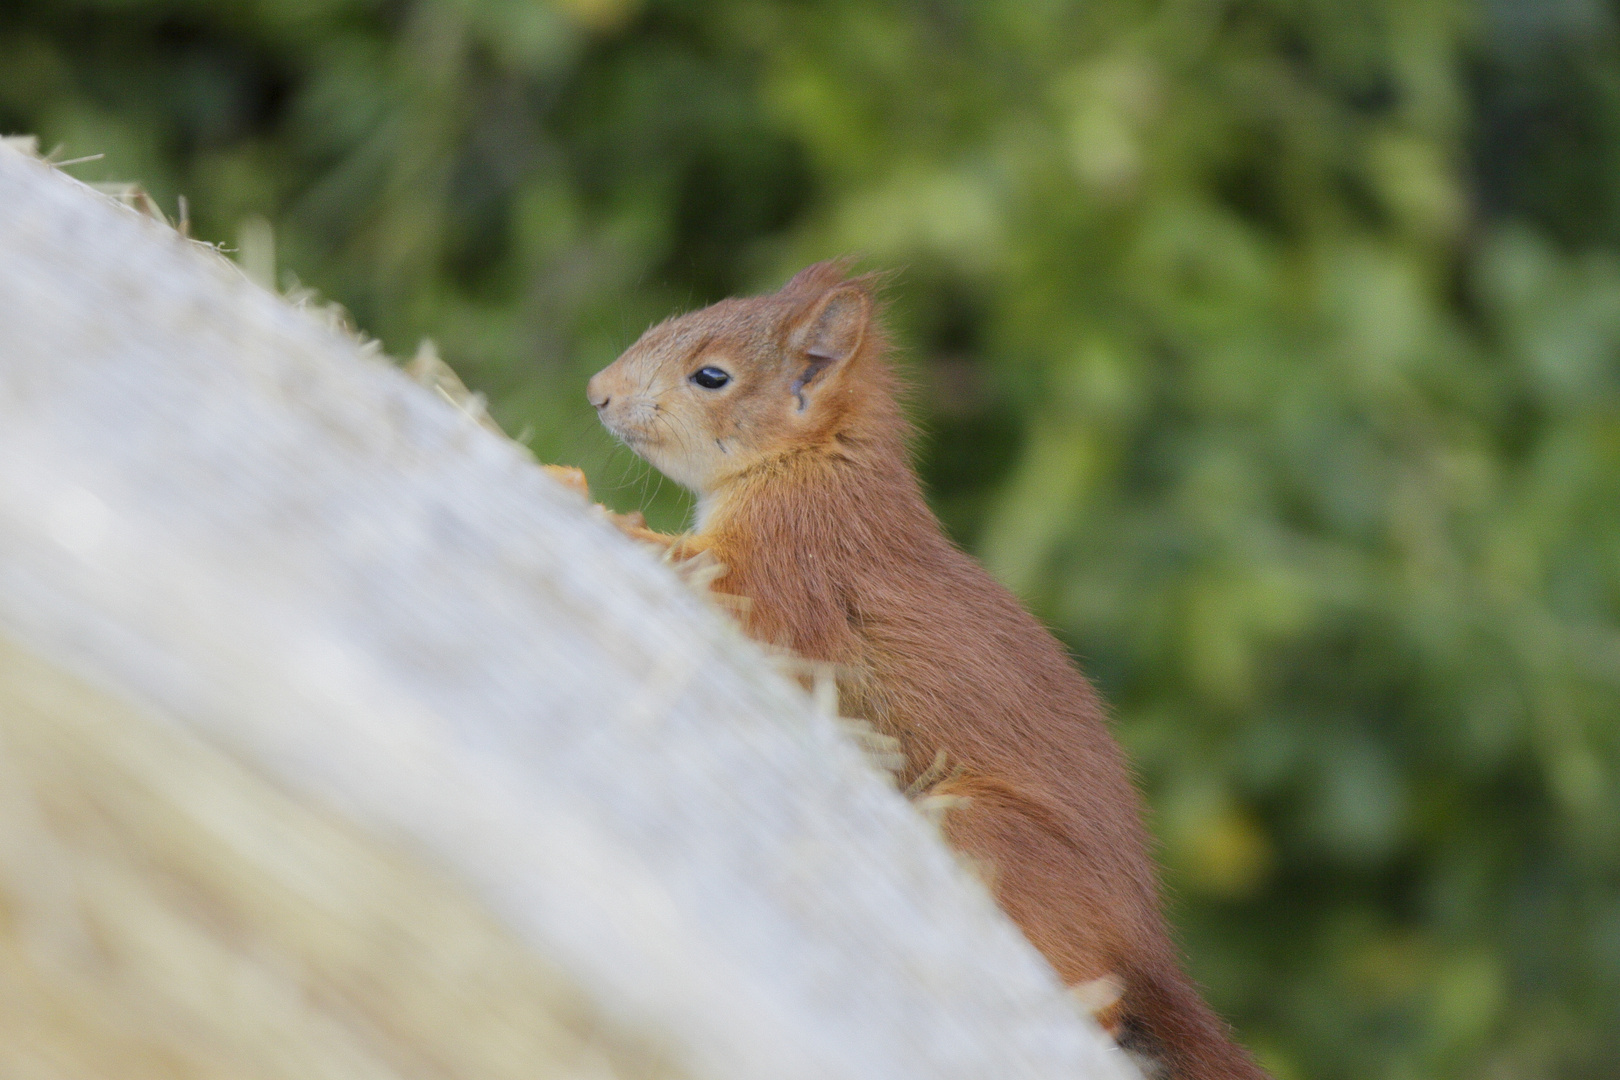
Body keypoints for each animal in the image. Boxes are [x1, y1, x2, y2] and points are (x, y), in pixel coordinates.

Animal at [579, 262, 1263, 1080]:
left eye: (711, 376)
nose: (597, 391)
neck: (813, 464)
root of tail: (1142, 940)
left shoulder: (789, 569)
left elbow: (727, 594)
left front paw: (614, 519)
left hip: (986, 833)